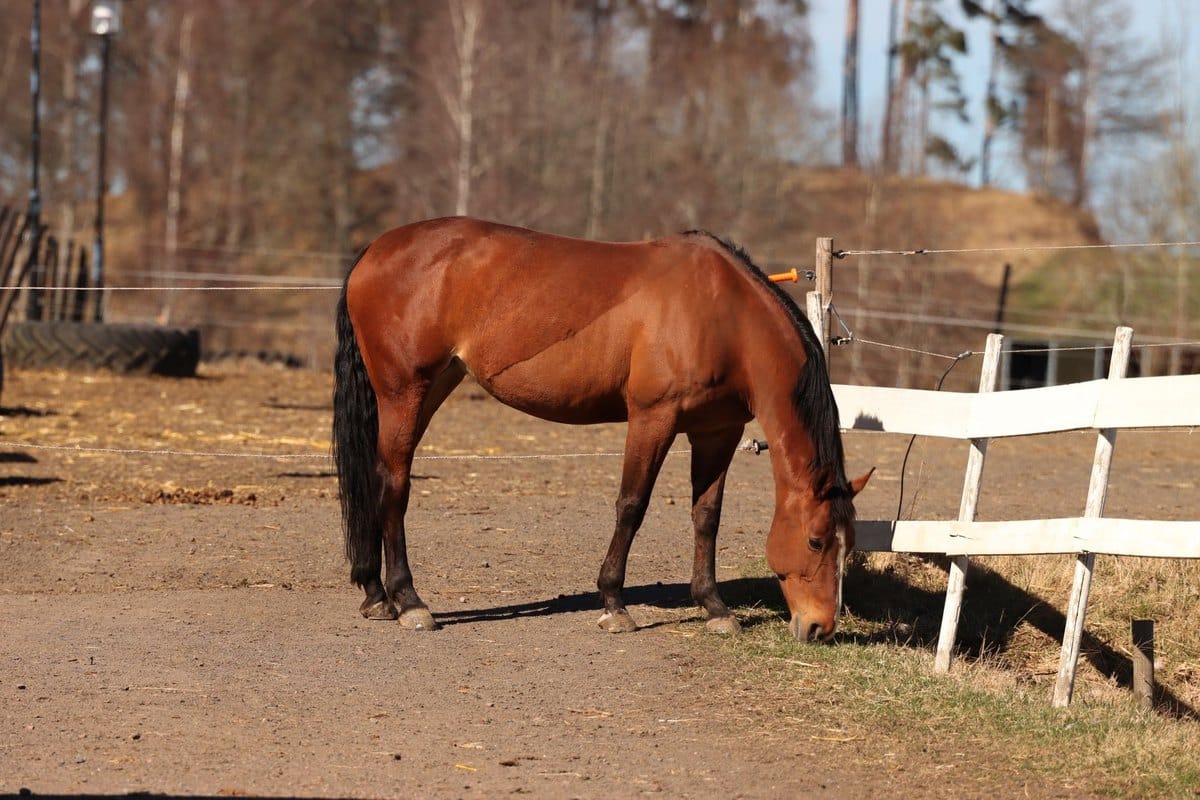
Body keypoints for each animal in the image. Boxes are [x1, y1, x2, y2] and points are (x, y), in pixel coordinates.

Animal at [332, 217, 871, 641]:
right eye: (816, 541)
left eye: (849, 542)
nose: (821, 627)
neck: (724, 315)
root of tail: (374, 252)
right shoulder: (653, 418)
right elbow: (631, 506)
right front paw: (614, 603)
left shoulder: (717, 432)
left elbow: (706, 516)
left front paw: (714, 606)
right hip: (405, 392)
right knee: (394, 485)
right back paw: (408, 600)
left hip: (433, 386)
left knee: (377, 479)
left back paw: (377, 595)